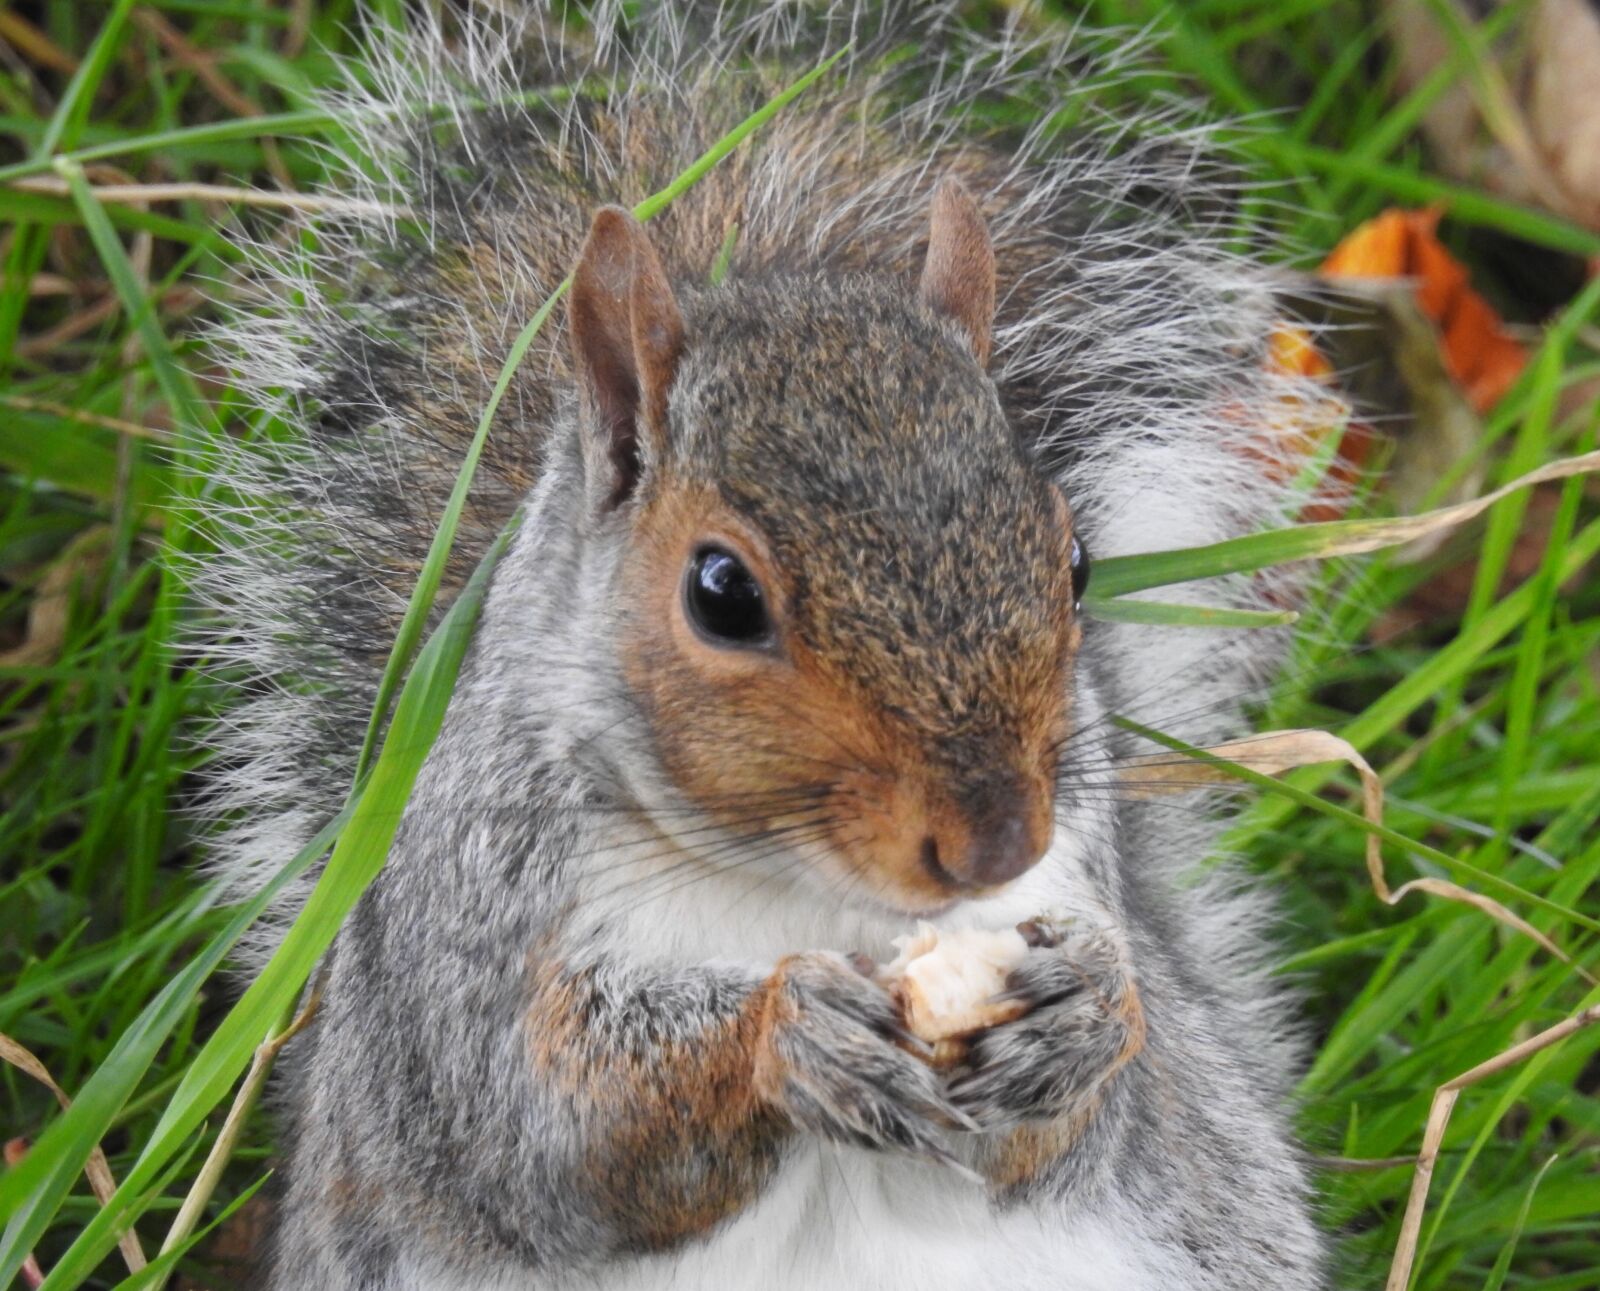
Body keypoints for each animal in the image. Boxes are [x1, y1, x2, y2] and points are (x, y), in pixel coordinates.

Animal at [194, 3, 1337, 1288]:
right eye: (722, 594)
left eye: (1076, 558)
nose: (997, 844)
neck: (796, 885)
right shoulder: (471, 938)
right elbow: (554, 1136)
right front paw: (788, 1034)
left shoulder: (1071, 879)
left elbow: (1068, 1143)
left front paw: (1087, 1015)